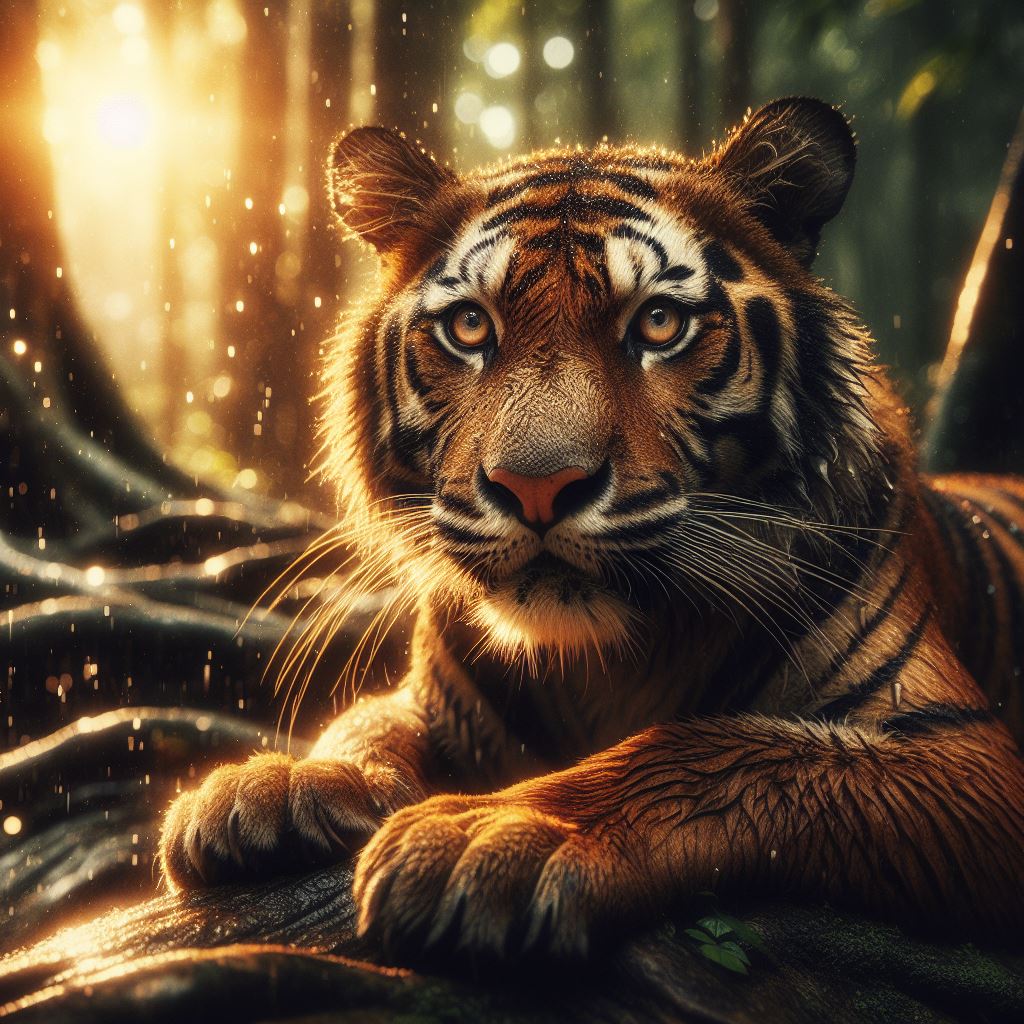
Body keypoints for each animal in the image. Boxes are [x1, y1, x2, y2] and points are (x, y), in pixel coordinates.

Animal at [160, 97, 1024, 960]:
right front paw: (277, 785)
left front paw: (496, 831)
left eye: (660, 323)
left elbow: (707, 745)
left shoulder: (966, 758)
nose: (537, 487)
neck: (603, 662)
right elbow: (363, 724)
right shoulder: (433, 703)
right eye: (469, 328)